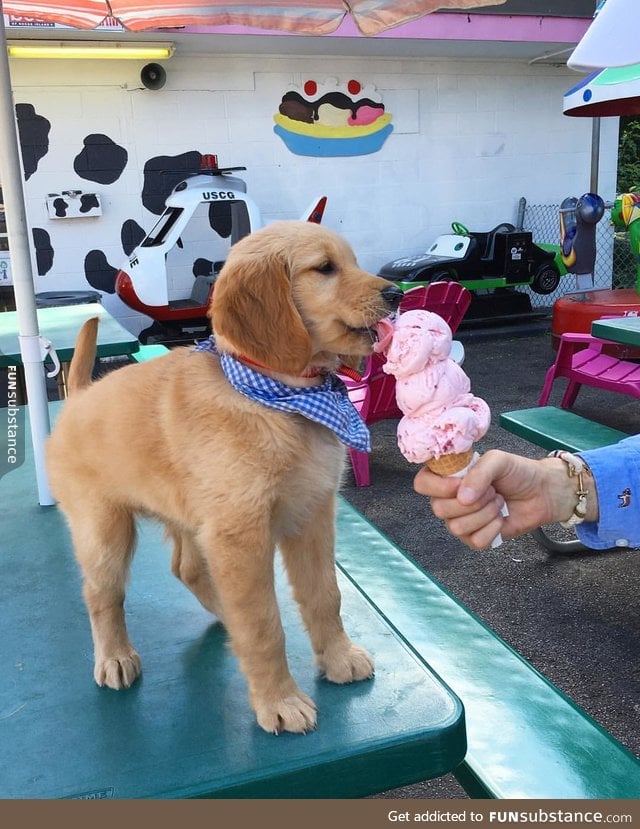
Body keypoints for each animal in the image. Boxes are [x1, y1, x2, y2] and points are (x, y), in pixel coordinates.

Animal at [47, 218, 402, 732]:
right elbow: (263, 624)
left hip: (189, 515)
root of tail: (77, 397)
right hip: (104, 531)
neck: (279, 399)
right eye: (325, 268)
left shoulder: (312, 514)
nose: (397, 293)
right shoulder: (241, 535)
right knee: (100, 593)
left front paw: (338, 658)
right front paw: (279, 701)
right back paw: (114, 656)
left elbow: (324, 596)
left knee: (188, 569)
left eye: (352, 262)